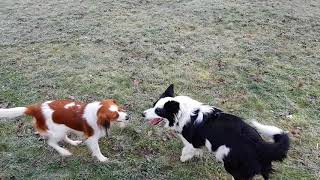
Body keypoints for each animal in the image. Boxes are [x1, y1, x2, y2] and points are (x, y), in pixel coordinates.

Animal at [0, 99, 128, 162]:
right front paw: (102, 159)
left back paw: (73, 142)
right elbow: (96, 149)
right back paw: (64, 152)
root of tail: (37, 109)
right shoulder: (92, 138)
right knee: (51, 142)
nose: (127, 117)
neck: (96, 112)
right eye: (115, 115)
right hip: (58, 131)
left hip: (63, 128)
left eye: (119, 109)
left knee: (64, 137)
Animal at [142, 84, 290, 180]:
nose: (142, 114)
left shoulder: (191, 142)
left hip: (232, 165)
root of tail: (259, 144)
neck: (182, 113)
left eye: (158, 111)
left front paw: (184, 158)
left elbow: (186, 151)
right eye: (153, 105)